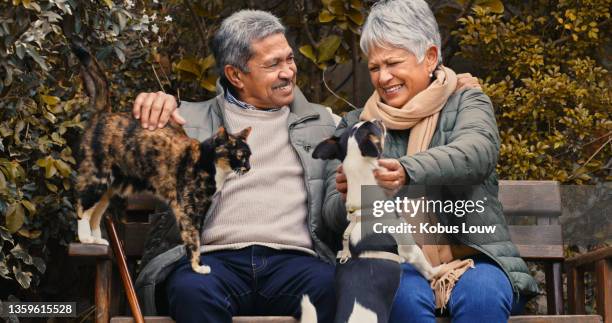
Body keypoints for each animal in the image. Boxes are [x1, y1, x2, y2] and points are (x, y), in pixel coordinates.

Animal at [71, 41, 251, 274]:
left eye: (249, 156)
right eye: (240, 156)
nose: (248, 167)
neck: (210, 165)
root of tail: (104, 114)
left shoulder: (200, 210)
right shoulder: (188, 209)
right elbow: (193, 240)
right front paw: (198, 267)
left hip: (109, 187)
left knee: (96, 212)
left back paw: (96, 240)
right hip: (97, 178)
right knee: (81, 206)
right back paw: (84, 238)